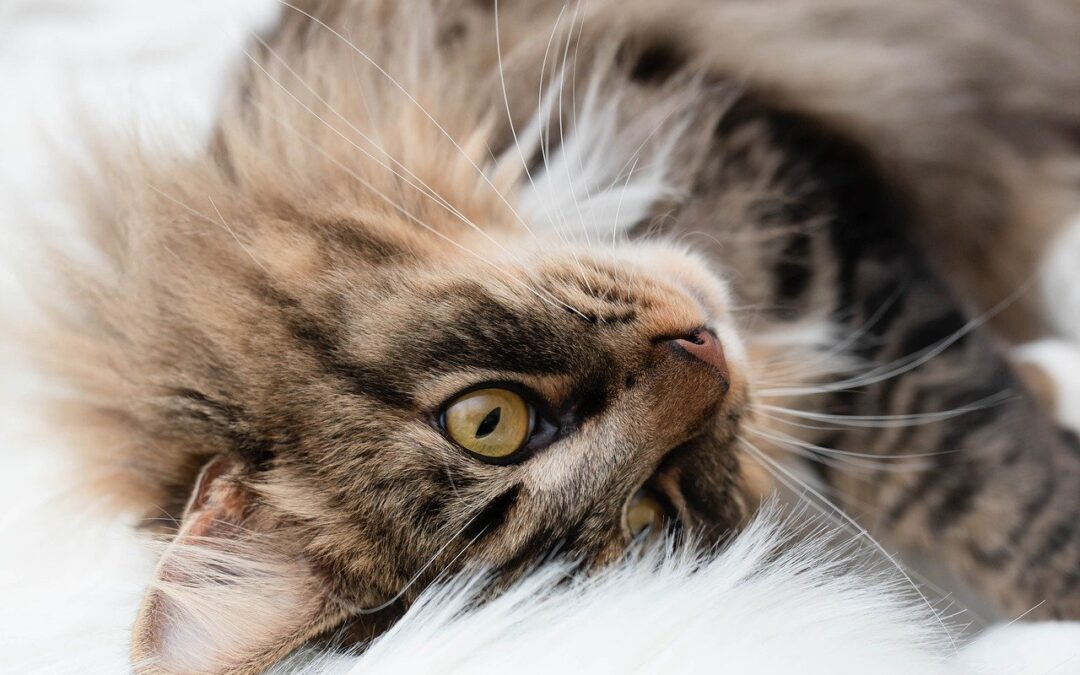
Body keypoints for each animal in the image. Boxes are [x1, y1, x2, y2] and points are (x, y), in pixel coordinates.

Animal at [44, 1, 1080, 673]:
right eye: (650, 513)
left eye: (488, 420)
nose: (705, 359)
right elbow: (984, 480)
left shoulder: (781, 200)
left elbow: (988, 479)